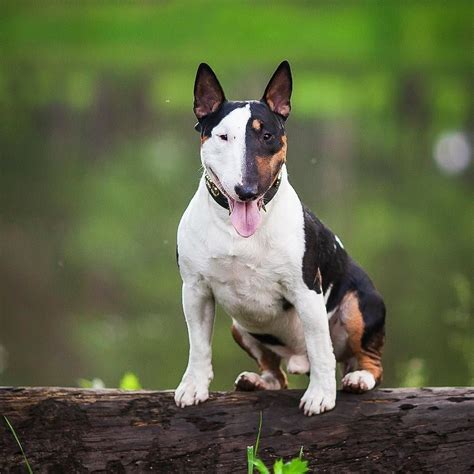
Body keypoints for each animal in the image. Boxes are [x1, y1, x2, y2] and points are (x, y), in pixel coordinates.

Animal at [174, 62, 386, 414]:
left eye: (267, 135)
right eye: (223, 136)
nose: (247, 190)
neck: (237, 232)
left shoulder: (307, 291)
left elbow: (320, 348)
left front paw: (320, 395)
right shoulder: (195, 290)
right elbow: (198, 345)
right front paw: (193, 386)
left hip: (360, 305)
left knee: (366, 359)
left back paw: (359, 378)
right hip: (241, 327)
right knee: (277, 373)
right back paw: (258, 380)